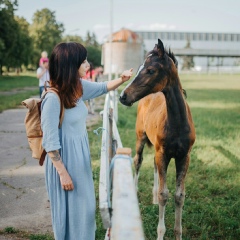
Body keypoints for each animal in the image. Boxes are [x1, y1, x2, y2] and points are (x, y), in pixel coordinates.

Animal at [119, 39, 196, 240]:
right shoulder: (163, 153)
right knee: (138, 161)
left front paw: (178, 233)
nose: (123, 96)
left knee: (153, 165)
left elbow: (179, 195)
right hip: (141, 138)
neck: (177, 123)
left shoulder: (184, 156)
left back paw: (152, 197)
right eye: (139, 68)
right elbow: (164, 194)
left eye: (150, 70)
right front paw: (160, 233)